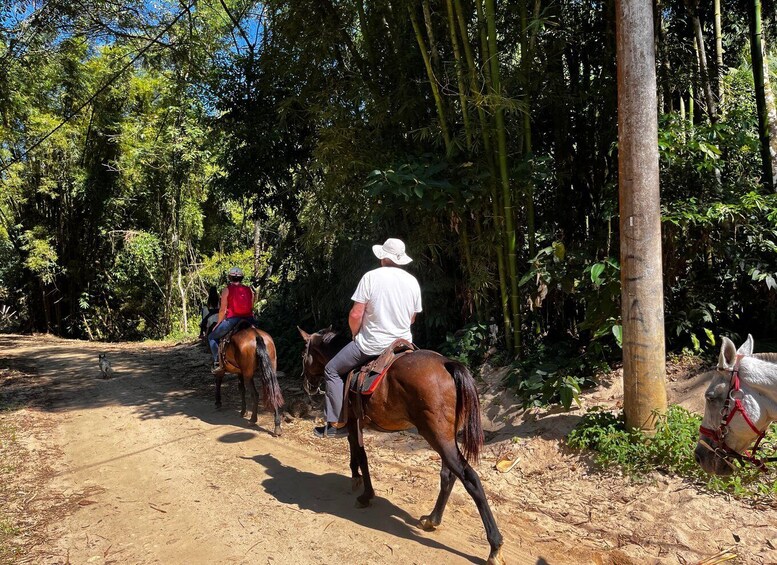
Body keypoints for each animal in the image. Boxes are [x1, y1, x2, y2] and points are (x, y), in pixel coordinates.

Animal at [298, 326, 504, 564]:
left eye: (303, 355)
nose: (308, 385)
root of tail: (447, 364)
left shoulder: (353, 421)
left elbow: (361, 455)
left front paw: (366, 494)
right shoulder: (354, 423)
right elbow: (355, 450)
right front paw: (355, 477)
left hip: (436, 436)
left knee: (469, 478)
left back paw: (494, 546)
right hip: (445, 437)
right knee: (449, 475)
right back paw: (432, 519)